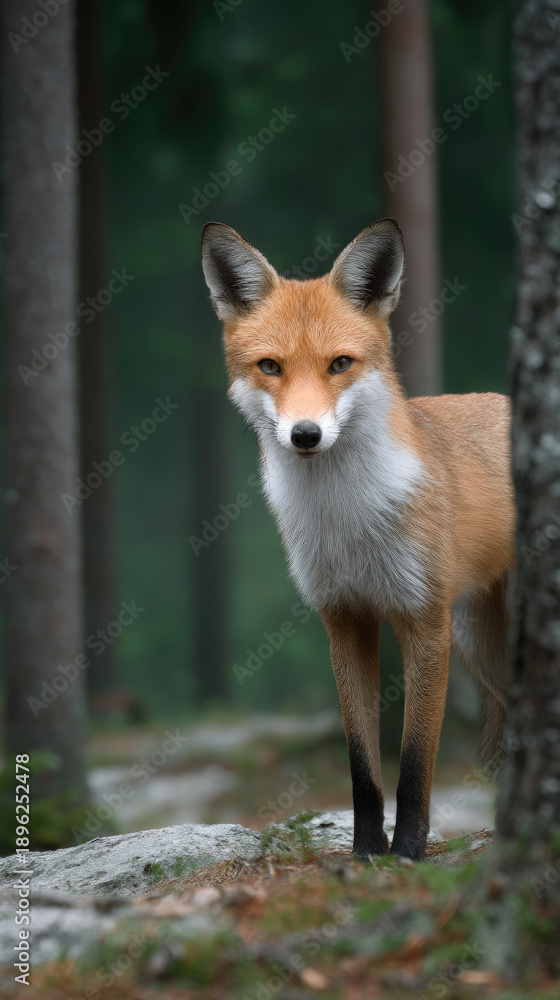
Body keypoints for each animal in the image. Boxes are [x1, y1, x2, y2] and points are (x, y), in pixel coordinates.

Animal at [201, 218, 516, 861]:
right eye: (270, 367)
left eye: (339, 363)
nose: (305, 434)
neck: (346, 519)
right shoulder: (344, 616)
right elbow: (362, 763)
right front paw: (367, 850)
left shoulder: (424, 619)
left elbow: (415, 759)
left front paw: (409, 852)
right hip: (483, 647)